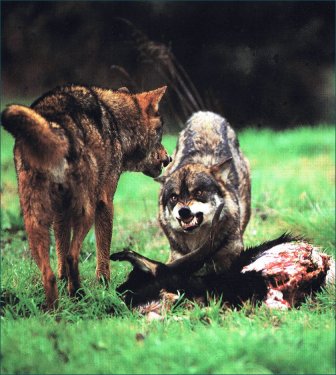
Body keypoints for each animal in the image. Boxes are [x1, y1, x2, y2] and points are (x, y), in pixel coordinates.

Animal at [1, 84, 171, 308]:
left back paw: (54, 309)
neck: (117, 124)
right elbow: (103, 251)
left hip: (34, 221)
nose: (169, 158)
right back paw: (78, 295)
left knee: (48, 272)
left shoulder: (60, 213)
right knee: (73, 256)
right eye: (160, 134)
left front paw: (65, 282)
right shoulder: (105, 202)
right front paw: (104, 284)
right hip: (86, 212)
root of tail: (53, 123)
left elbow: (60, 255)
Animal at [158, 111, 249, 276]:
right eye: (174, 197)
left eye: (199, 192)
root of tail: (205, 114)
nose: (184, 211)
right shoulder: (177, 256)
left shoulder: (230, 253)